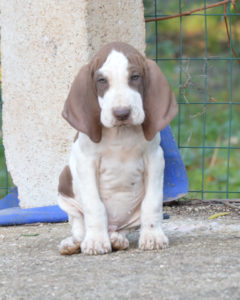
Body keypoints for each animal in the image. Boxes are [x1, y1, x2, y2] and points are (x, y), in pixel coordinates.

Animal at [58, 41, 178, 254]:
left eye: (135, 77)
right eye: (102, 80)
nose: (122, 113)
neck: (121, 134)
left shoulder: (155, 159)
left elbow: (152, 203)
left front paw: (152, 236)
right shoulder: (85, 162)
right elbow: (94, 206)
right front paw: (96, 240)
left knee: (122, 229)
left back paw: (116, 239)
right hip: (65, 185)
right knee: (79, 224)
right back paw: (74, 242)